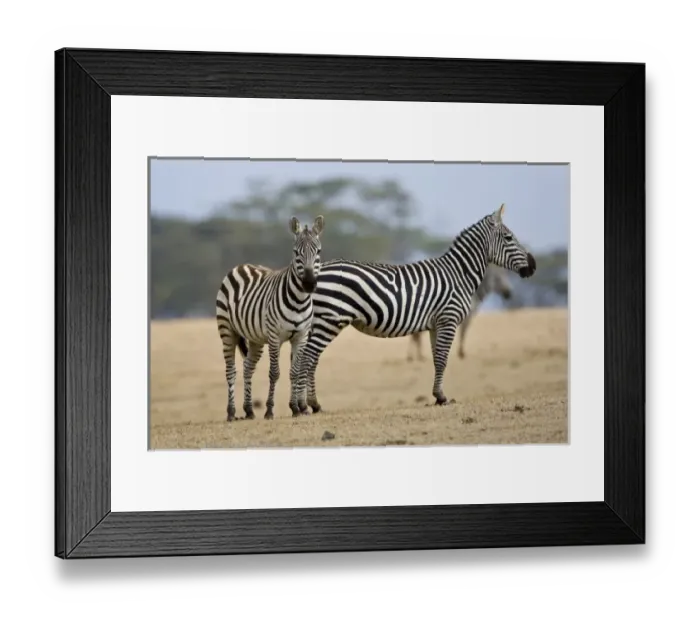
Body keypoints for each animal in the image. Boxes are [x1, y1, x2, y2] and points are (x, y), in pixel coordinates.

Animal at [215, 215, 325, 422]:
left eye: (319, 251)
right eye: (296, 252)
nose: (308, 284)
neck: (299, 301)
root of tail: (241, 265)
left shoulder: (301, 336)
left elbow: (294, 372)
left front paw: (295, 408)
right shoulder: (275, 337)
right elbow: (275, 373)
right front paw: (269, 410)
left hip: (255, 338)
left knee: (248, 367)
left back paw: (249, 410)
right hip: (227, 330)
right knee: (231, 371)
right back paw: (231, 412)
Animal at [295, 203, 535, 412]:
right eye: (509, 238)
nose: (533, 267)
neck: (458, 275)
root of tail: (314, 274)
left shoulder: (436, 325)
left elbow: (437, 358)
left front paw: (438, 395)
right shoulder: (448, 319)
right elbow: (443, 358)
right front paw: (442, 397)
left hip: (319, 322)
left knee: (308, 359)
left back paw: (311, 404)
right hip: (329, 319)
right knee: (307, 358)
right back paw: (306, 405)